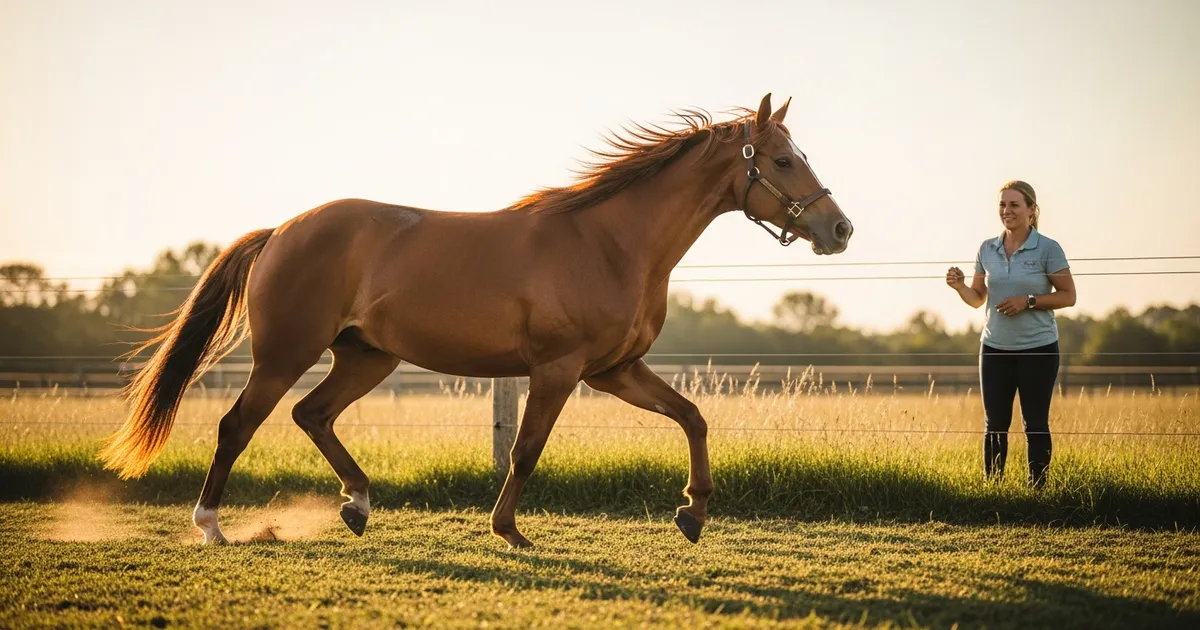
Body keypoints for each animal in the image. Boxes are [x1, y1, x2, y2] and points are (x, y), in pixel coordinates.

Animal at [97, 93, 854, 548]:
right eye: (782, 159)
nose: (839, 229)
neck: (610, 242)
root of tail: (282, 230)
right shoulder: (558, 370)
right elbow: (526, 450)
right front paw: (509, 531)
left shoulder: (614, 371)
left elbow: (693, 417)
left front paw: (692, 514)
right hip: (285, 355)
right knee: (238, 425)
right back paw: (213, 527)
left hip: (365, 356)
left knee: (311, 415)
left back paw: (357, 504)